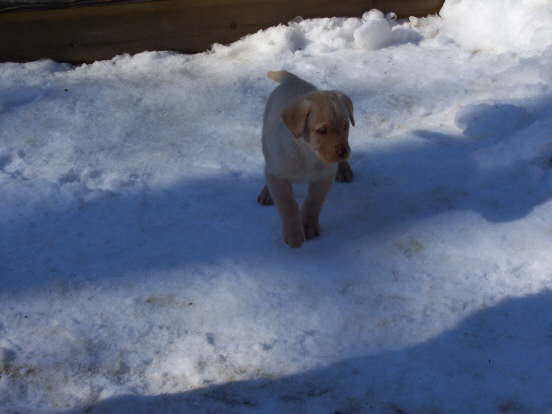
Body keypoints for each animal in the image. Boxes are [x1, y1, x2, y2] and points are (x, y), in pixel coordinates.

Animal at [258, 70, 356, 249]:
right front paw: (294, 233)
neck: (308, 154)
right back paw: (266, 192)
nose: (343, 152)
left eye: (345, 127)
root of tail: (293, 80)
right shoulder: (277, 174)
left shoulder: (324, 176)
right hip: (265, 141)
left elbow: (313, 201)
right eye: (322, 130)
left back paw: (344, 169)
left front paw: (309, 225)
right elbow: (287, 203)